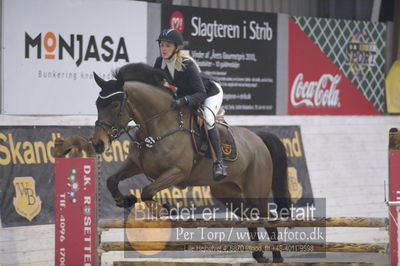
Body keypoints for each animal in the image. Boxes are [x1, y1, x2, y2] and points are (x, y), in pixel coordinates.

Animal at [91, 62, 290, 262]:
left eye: (115, 104)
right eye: (97, 104)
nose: (98, 144)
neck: (158, 125)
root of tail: (258, 138)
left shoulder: (177, 172)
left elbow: (147, 191)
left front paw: (167, 210)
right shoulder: (136, 165)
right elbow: (112, 180)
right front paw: (124, 200)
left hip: (255, 190)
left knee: (267, 217)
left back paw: (277, 256)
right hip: (227, 191)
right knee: (249, 215)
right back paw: (259, 254)